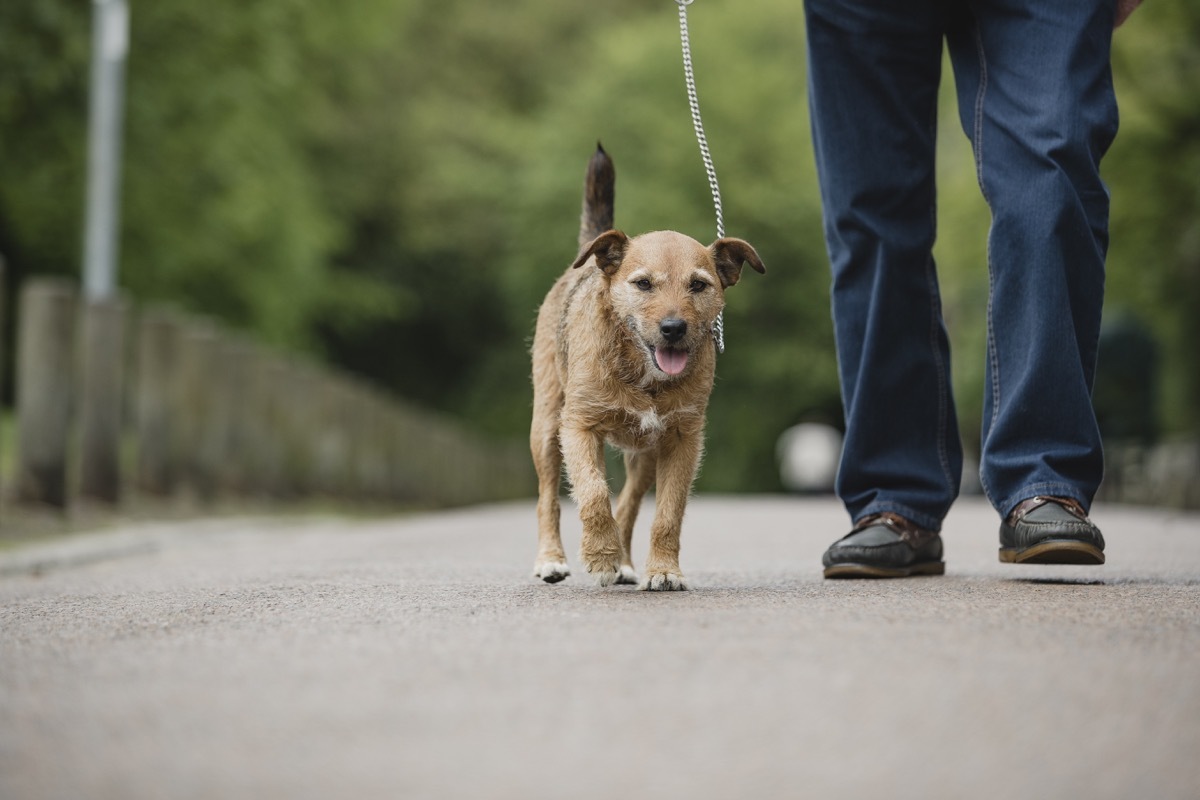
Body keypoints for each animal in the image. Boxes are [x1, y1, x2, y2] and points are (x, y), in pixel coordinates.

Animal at [530, 146, 763, 592]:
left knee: (630, 504)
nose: (673, 328)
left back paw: (624, 561)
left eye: (698, 285)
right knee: (549, 496)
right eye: (642, 284)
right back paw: (552, 559)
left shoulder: (683, 441)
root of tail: (588, 262)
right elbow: (593, 493)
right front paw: (600, 556)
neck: (642, 375)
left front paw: (664, 570)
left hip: (645, 457)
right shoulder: (578, 427)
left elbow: (668, 514)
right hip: (548, 427)